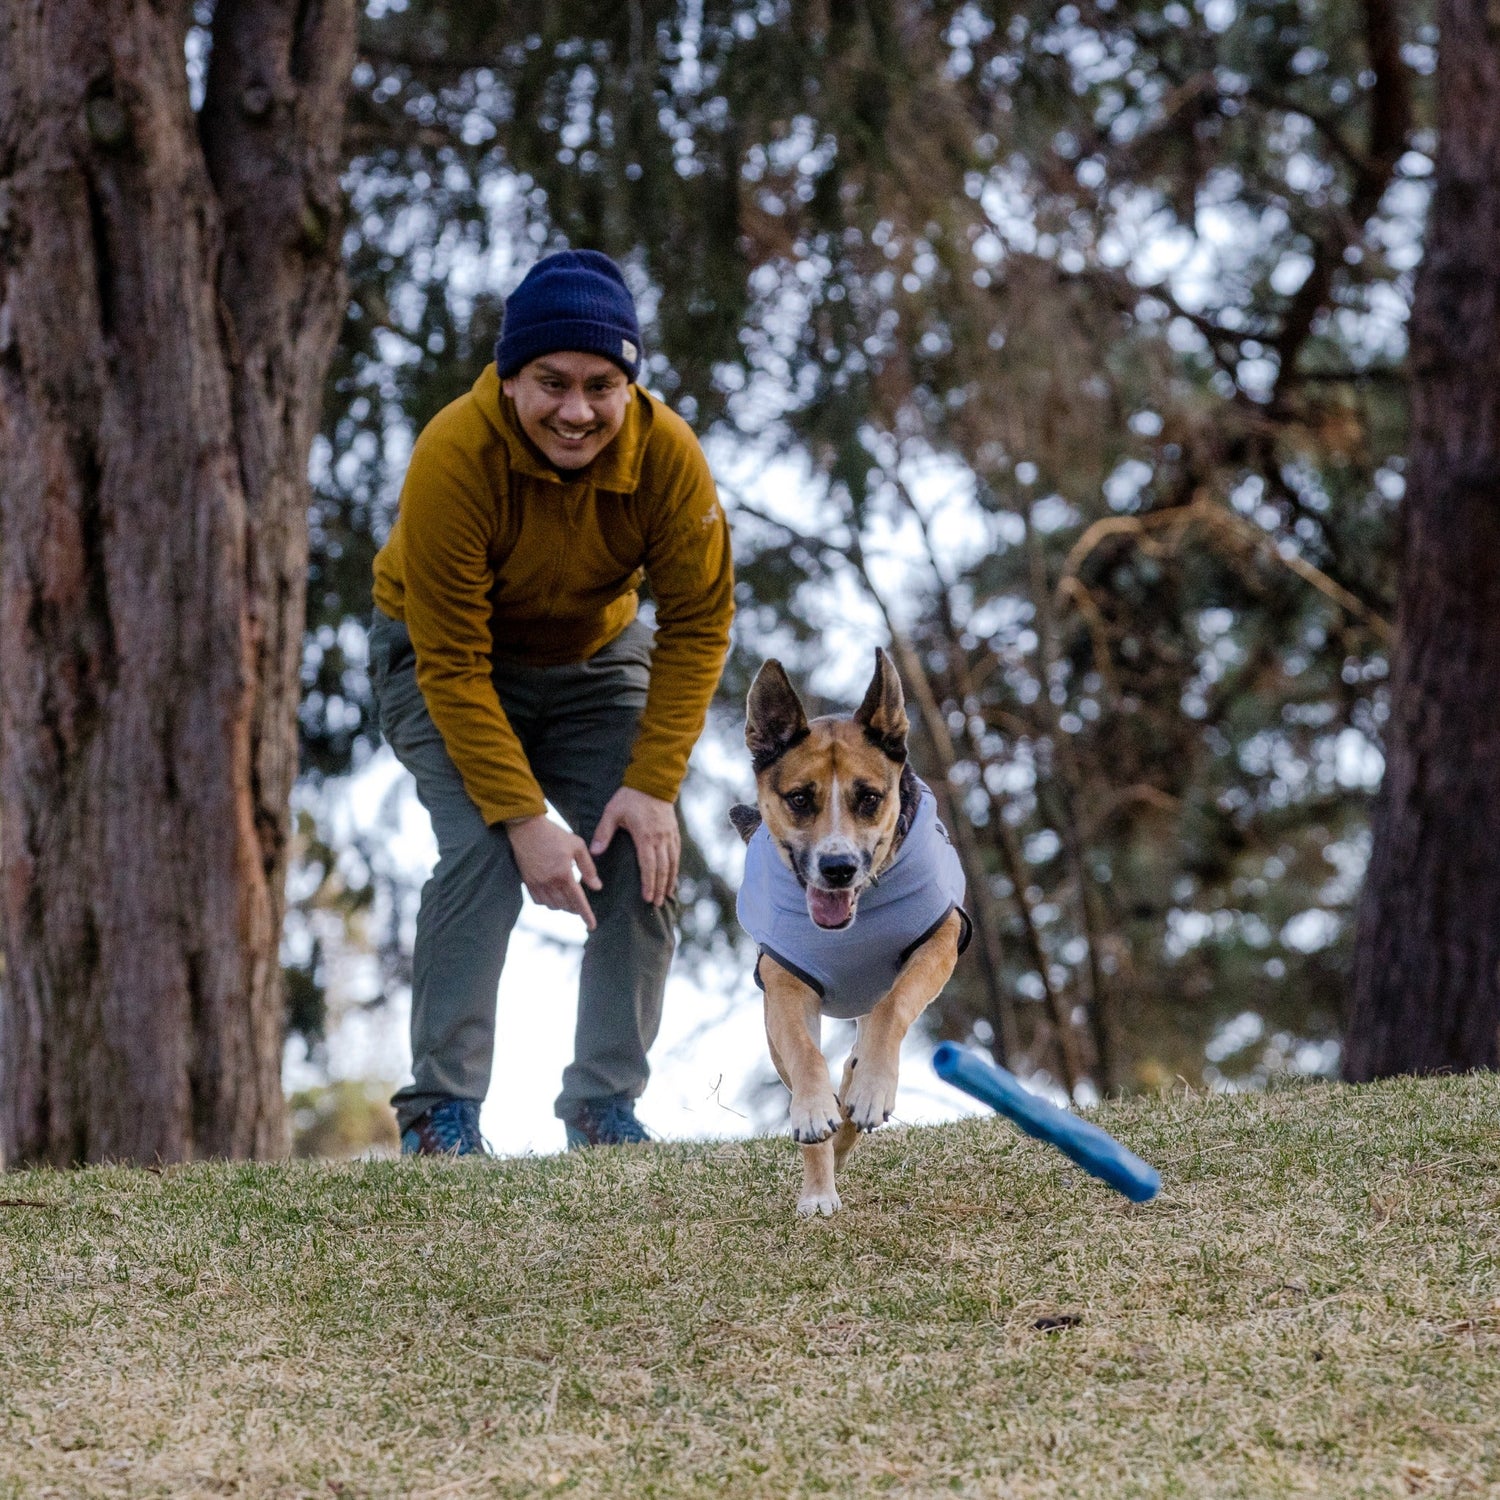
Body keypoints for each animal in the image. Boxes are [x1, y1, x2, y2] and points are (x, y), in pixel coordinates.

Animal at [729, 651, 966, 1212]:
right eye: (799, 798)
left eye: (870, 798)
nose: (837, 867)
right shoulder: (785, 980)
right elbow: (805, 1054)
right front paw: (816, 1114)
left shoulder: (941, 939)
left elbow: (892, 1007)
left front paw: (873, 1089)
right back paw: (821, 1177)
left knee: (862, 1051)